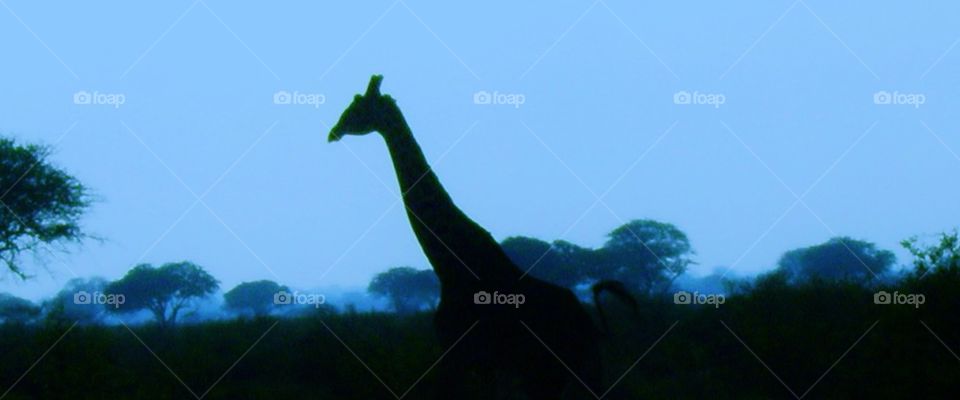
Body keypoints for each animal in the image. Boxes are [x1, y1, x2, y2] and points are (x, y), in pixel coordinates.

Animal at [329, 75, 631, 399]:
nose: (333, 132)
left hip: (547, 374)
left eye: (357, 106)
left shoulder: (458, 355)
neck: (450, 266)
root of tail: (592, 327)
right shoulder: (481, 364)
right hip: (572, 374)